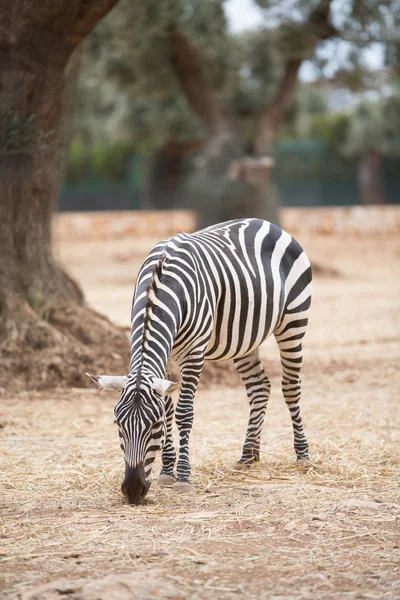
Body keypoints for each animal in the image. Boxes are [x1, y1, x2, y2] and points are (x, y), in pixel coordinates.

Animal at [87, 218, 312, 504]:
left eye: (154, 426)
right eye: (118, 424)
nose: (133, 491)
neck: (161, 286)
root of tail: (266, 222)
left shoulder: (193, 354)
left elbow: (184, 412)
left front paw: (183, 477)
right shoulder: (167, 358)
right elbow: (169, 408)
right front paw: (167, 472)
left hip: (294, 320)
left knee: (291, 387)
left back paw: (302, 455)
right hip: (243, 339)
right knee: (259, 387)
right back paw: (248, 456)